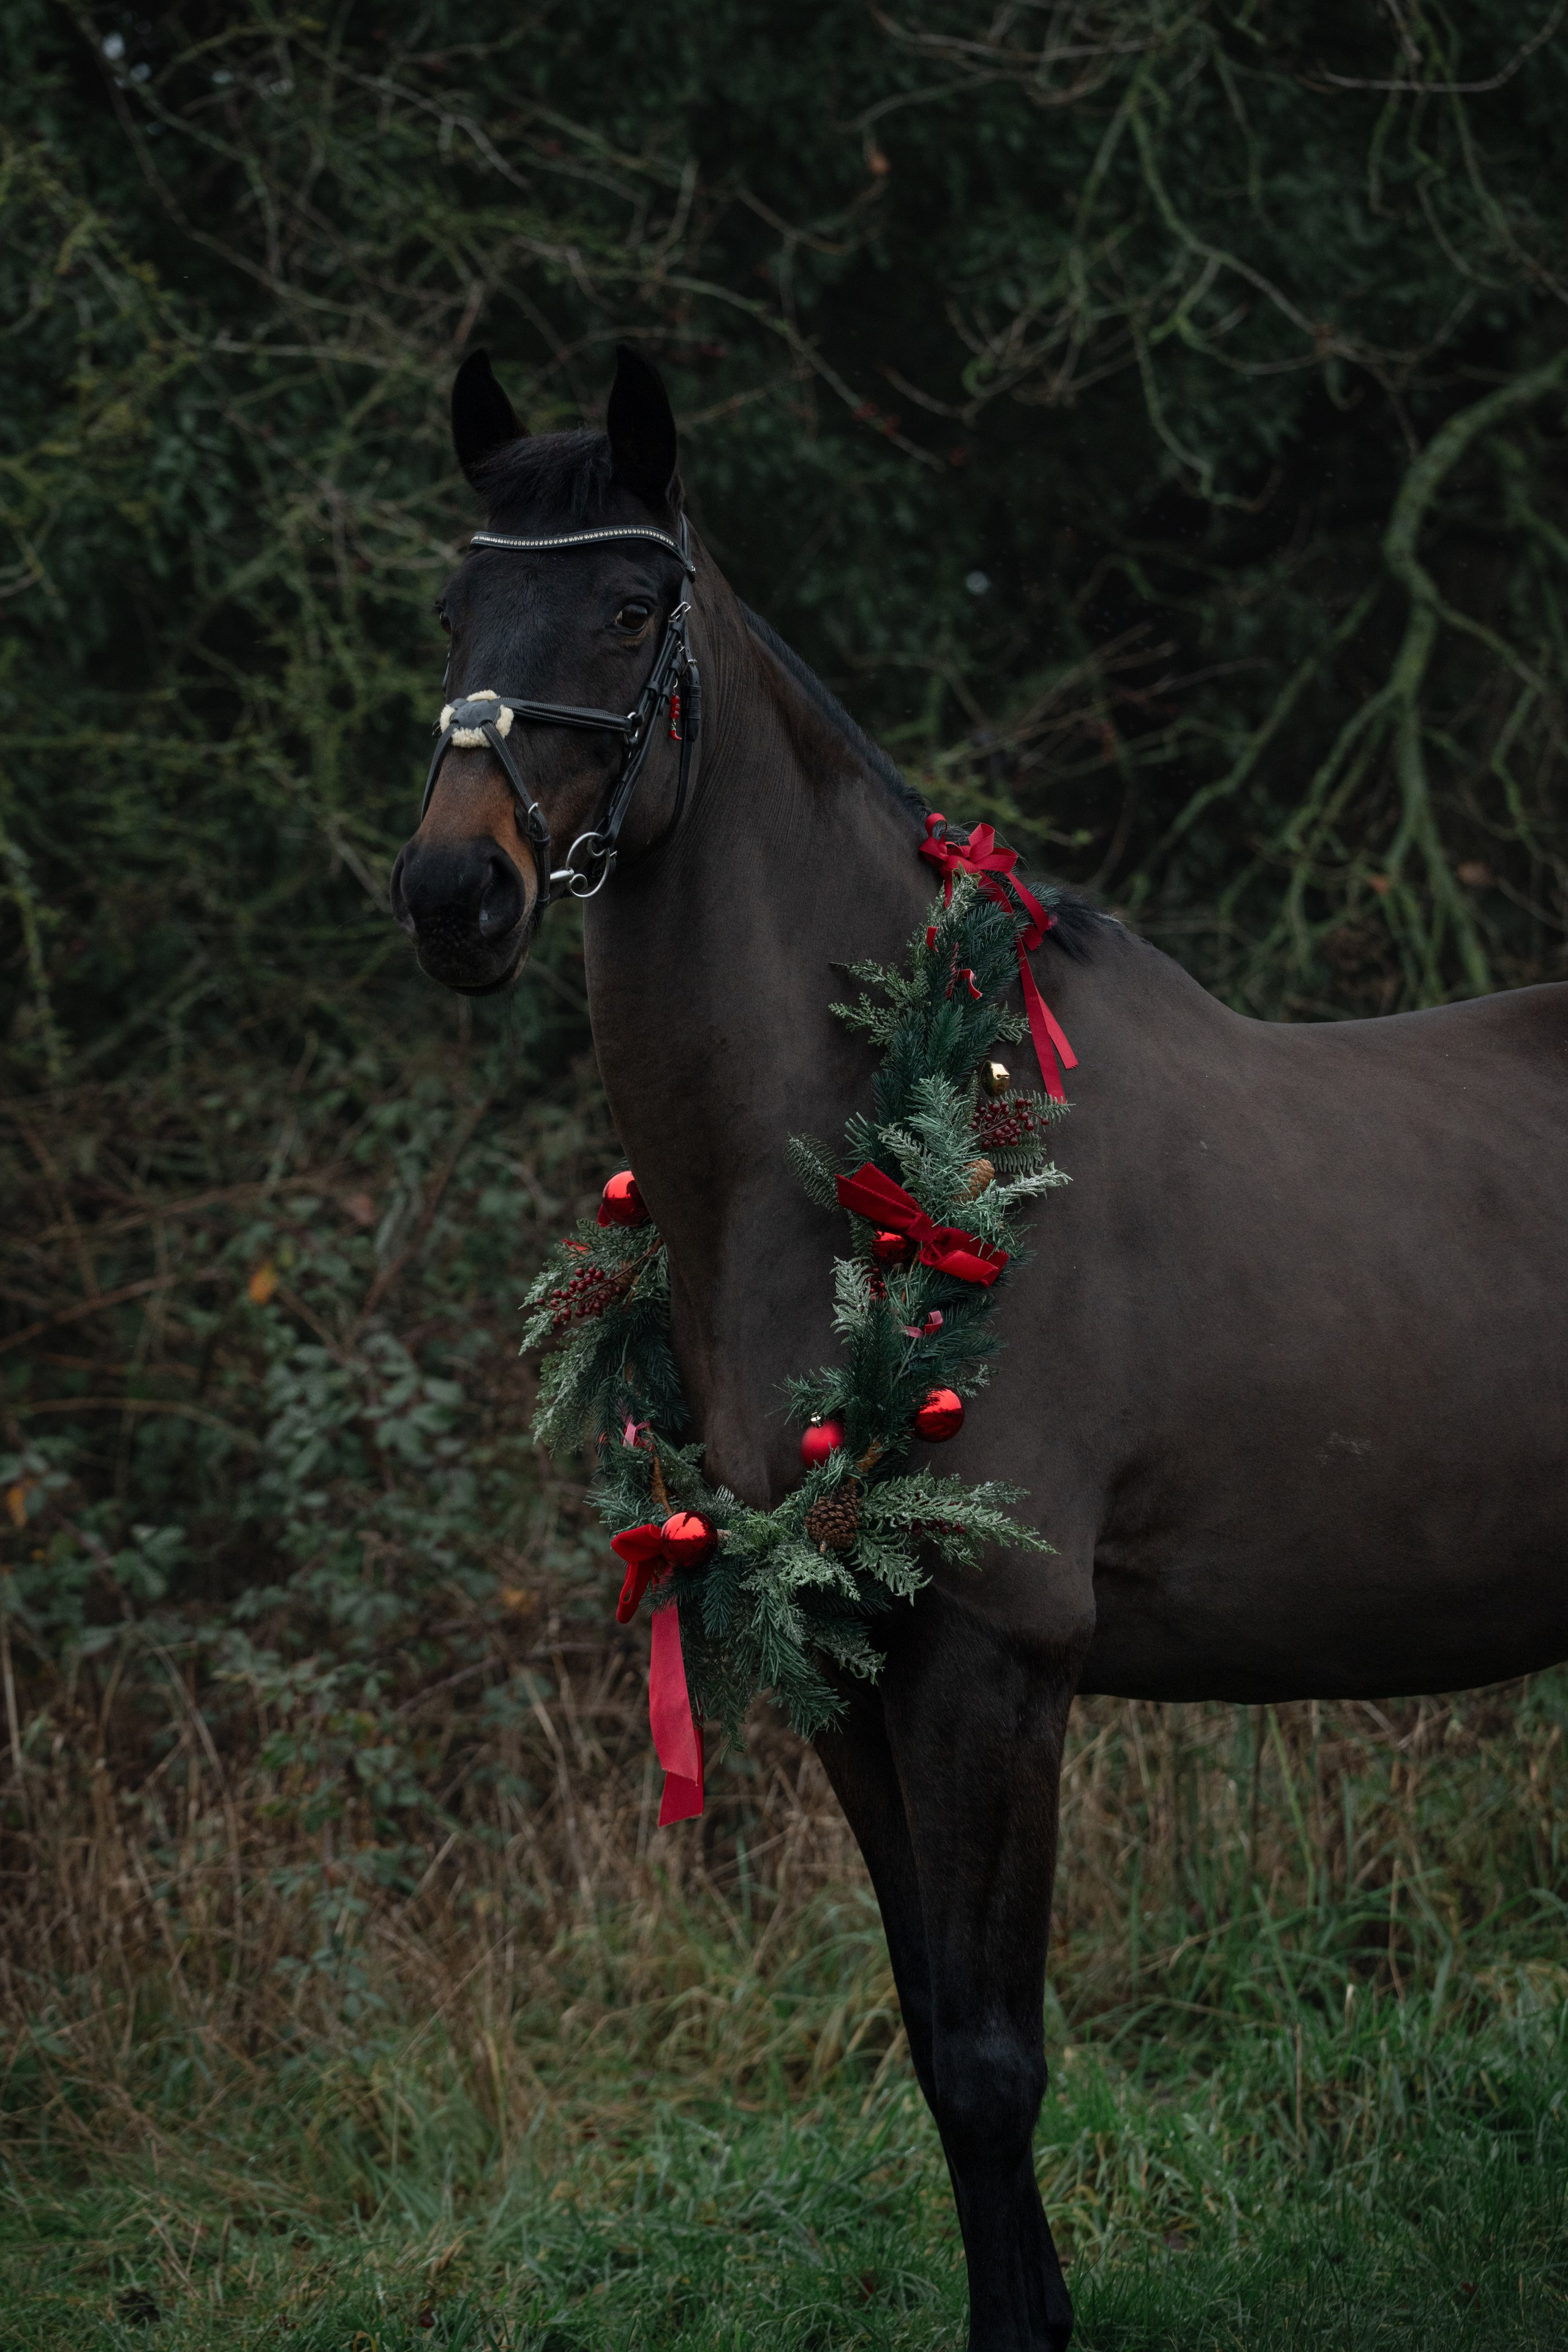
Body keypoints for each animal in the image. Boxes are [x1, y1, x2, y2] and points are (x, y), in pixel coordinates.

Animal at [391, 343, 1568, 2352]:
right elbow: (935, 2037)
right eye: (459, 607)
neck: (884, 1157)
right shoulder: (848, 1666)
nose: (452, 893)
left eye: (629, 607)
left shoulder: (997, 1663)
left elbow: (996, 2056)